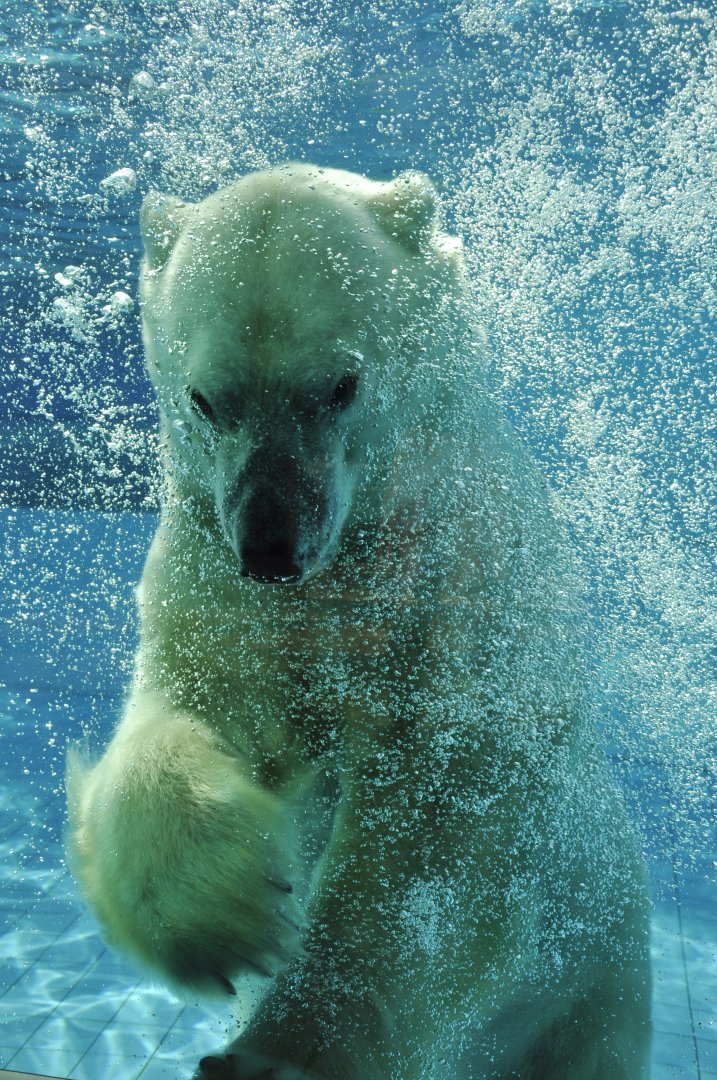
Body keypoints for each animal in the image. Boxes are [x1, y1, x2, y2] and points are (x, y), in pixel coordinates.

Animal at [67, 163, 651, 1079]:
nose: (271, 547)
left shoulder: (458, 599)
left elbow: (429, 839)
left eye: (338, 386)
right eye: (206, 398)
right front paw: (220, 918)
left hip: (595, 974)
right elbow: (190, 708)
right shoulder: (212, 580)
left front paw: (280, 1051)